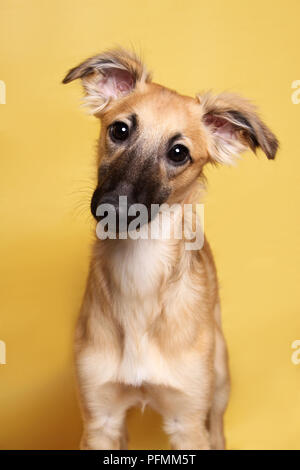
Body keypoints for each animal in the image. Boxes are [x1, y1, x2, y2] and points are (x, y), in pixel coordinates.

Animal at [63, 49, 278, 450]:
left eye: (179, 153)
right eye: (120, 130)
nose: (114, 209)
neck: (139, 274)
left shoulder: (188, 420)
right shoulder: (100, 419)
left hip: (218, 385)